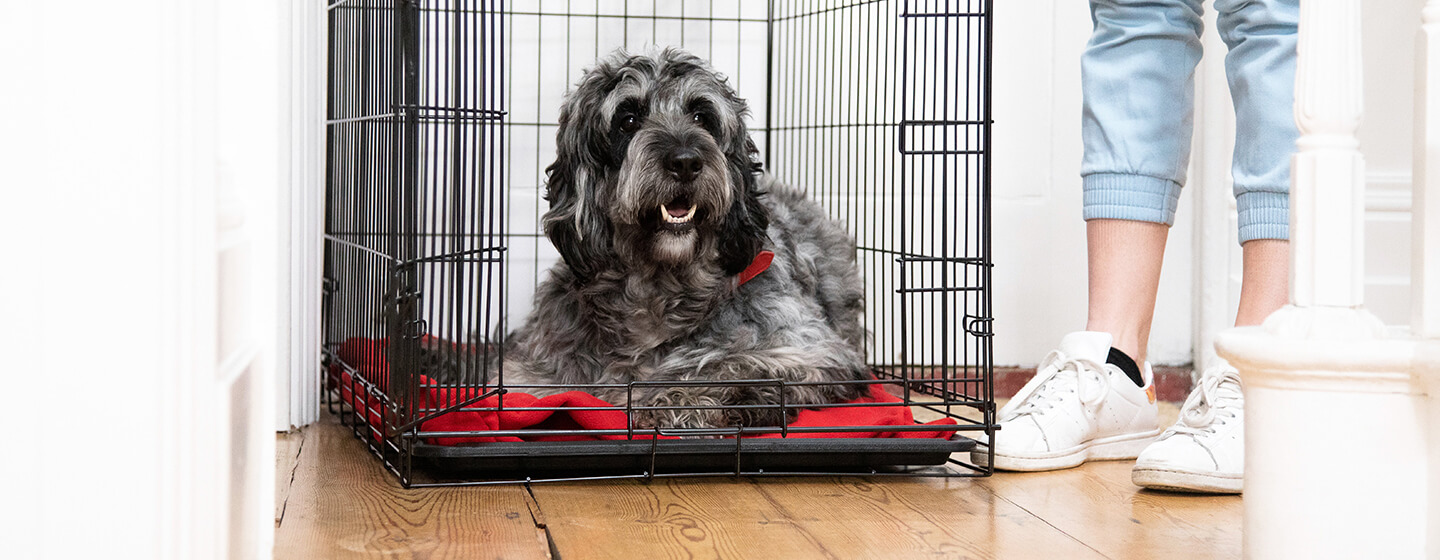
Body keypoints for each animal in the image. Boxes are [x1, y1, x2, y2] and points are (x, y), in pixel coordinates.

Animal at [495, 47, 864, 428]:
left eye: (702, 116)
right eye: (628, 120)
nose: (686, 161)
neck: (660, 286)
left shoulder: (807, 348)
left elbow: (727, 366)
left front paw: (673, 400)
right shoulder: (532, 369)